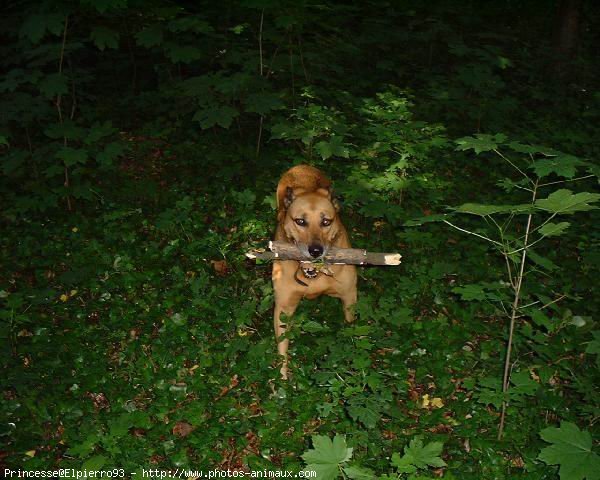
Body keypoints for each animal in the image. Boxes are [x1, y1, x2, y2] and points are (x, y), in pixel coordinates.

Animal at [272, 165, 356, 378]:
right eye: (300, 221)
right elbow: (282, 349)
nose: (316, 250)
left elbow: (352, 327)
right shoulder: (284, 307)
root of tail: (302, 166)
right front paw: (281, 380)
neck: (314, 276)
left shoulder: (349, 296)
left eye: (326, 222)